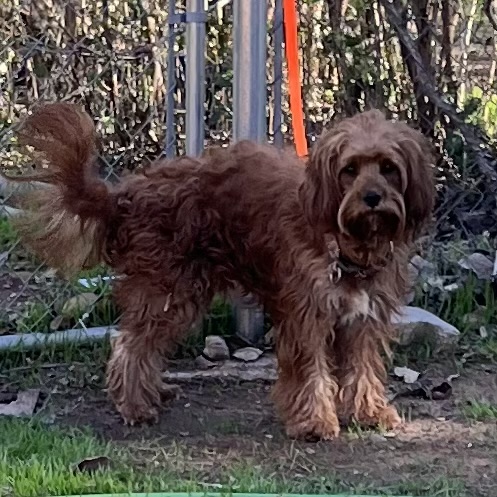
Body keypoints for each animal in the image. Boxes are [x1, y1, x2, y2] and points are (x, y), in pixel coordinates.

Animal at [8, 101, 434, 438]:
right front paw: (313, 422)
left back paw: (152, 393)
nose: (373, 197)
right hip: (168, 291)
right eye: (350, 169)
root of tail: (126, 195)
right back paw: (135, 406)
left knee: (142, 345)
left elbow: (363, 369)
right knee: (131, 346)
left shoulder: (364, 318)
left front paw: (369, 413)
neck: (344, 240)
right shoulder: (306, 315)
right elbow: (310, 371)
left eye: (388, 167)